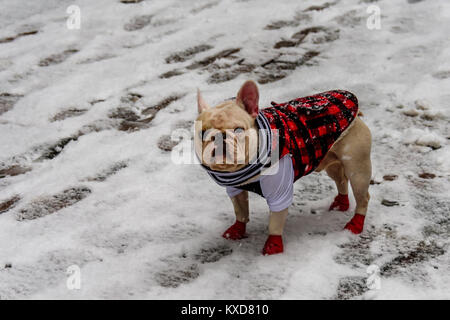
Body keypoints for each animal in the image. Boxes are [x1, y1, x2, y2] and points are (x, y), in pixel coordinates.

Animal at [195, 80, 370, 255]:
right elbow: (241, 210)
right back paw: (341, 203)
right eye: (203, 133)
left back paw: (355, 224)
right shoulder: (235, 190)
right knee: (341, 180)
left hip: (357, 169)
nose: (219, 137)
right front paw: (237, 230)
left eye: (238, 130)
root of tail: (357, 113)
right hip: (330, 159)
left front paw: (273, 246)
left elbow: (275, 222)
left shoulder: (279, 195)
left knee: (363, 196)